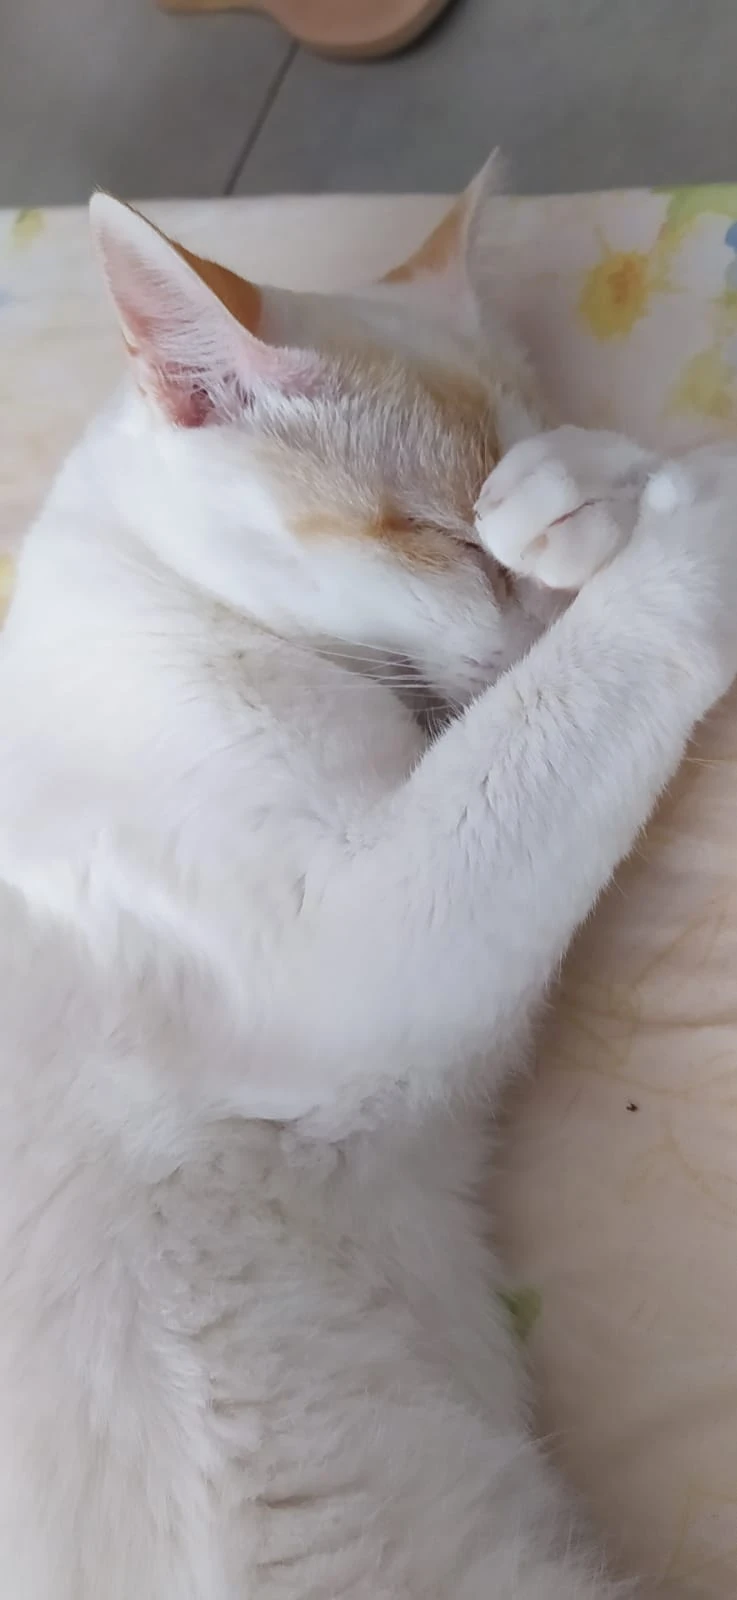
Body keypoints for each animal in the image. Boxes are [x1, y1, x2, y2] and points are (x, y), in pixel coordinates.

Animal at [0, 164, 735, 1599]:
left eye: (484, 537)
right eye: (448, 545)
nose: (529, 582)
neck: (164, 597)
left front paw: (582, 487)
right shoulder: (358, 958)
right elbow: (587, 670)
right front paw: (696, 509)